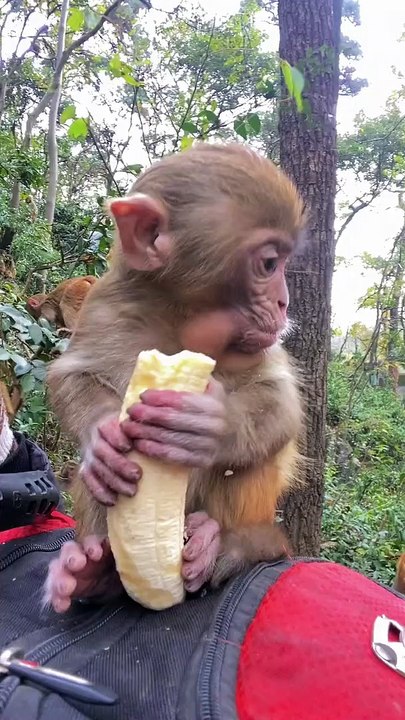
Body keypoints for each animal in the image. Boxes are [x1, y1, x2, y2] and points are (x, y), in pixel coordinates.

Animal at [44, 142, 306, 613]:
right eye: (269, 264)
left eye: (281, 264)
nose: (283, 302)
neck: (183, 318)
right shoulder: (106, 304)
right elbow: (70, 374)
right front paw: (101, 437)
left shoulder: (258, 343)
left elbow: (281, 399)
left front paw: (213, 426)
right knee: (97, 483)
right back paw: (94, 576)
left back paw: (225, 545)